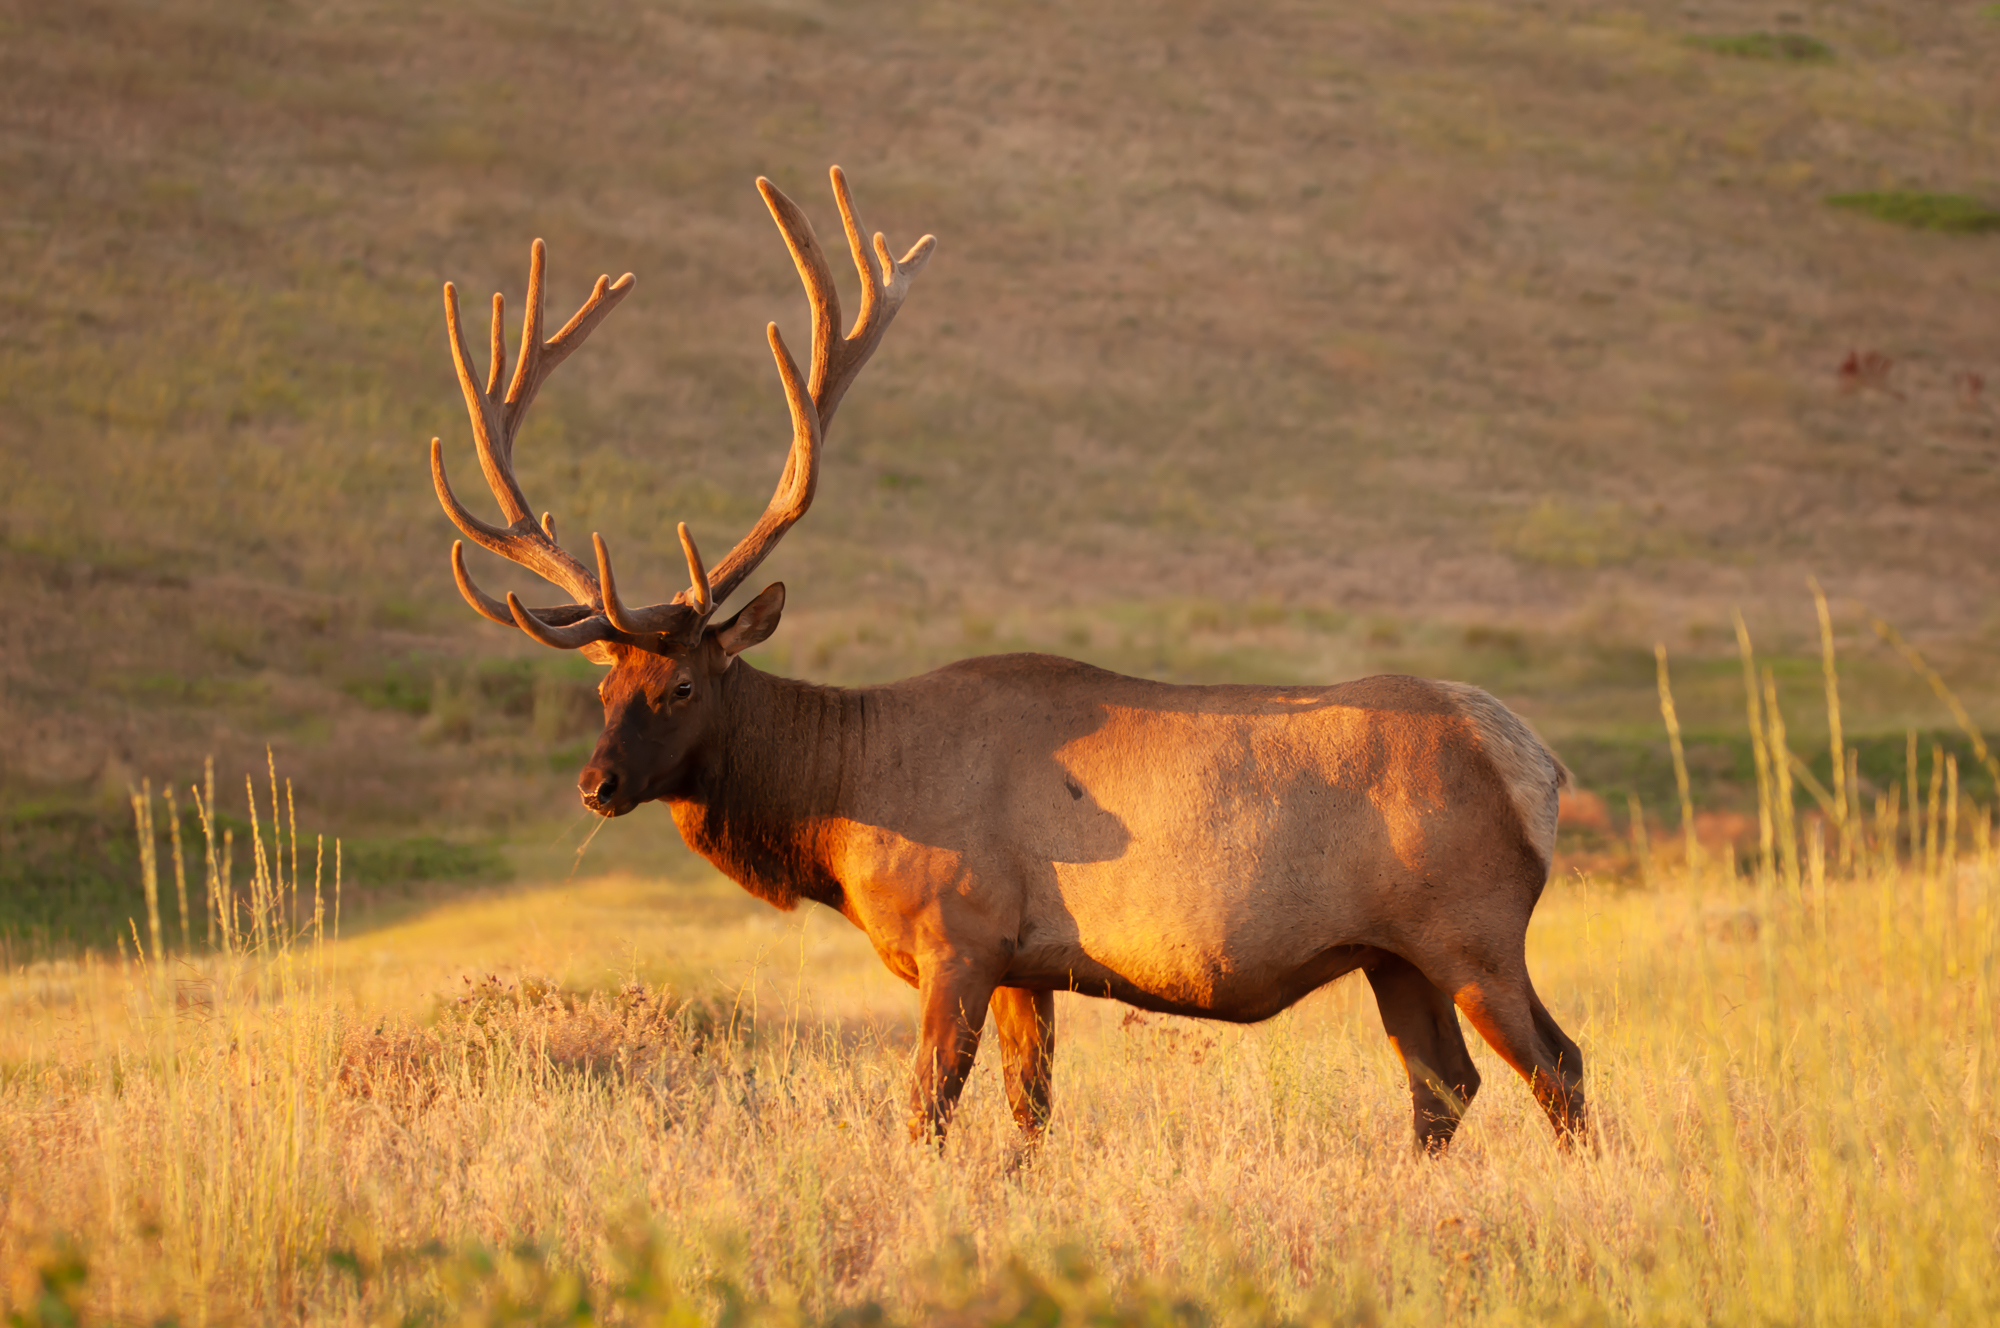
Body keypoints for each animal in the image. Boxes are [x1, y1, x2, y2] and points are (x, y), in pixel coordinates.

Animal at [430, 169, 1584, 1152]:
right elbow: (1030, 1115)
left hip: (1473, 929)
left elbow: (926, 1111)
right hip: (1395, 954)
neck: (844, 809)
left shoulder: (963, 936)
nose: (595, 782)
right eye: (601, 682)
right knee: (1443, 1085)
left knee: (1556, 1064)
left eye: (678, 683)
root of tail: (1537, 764)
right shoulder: (1032, 964)